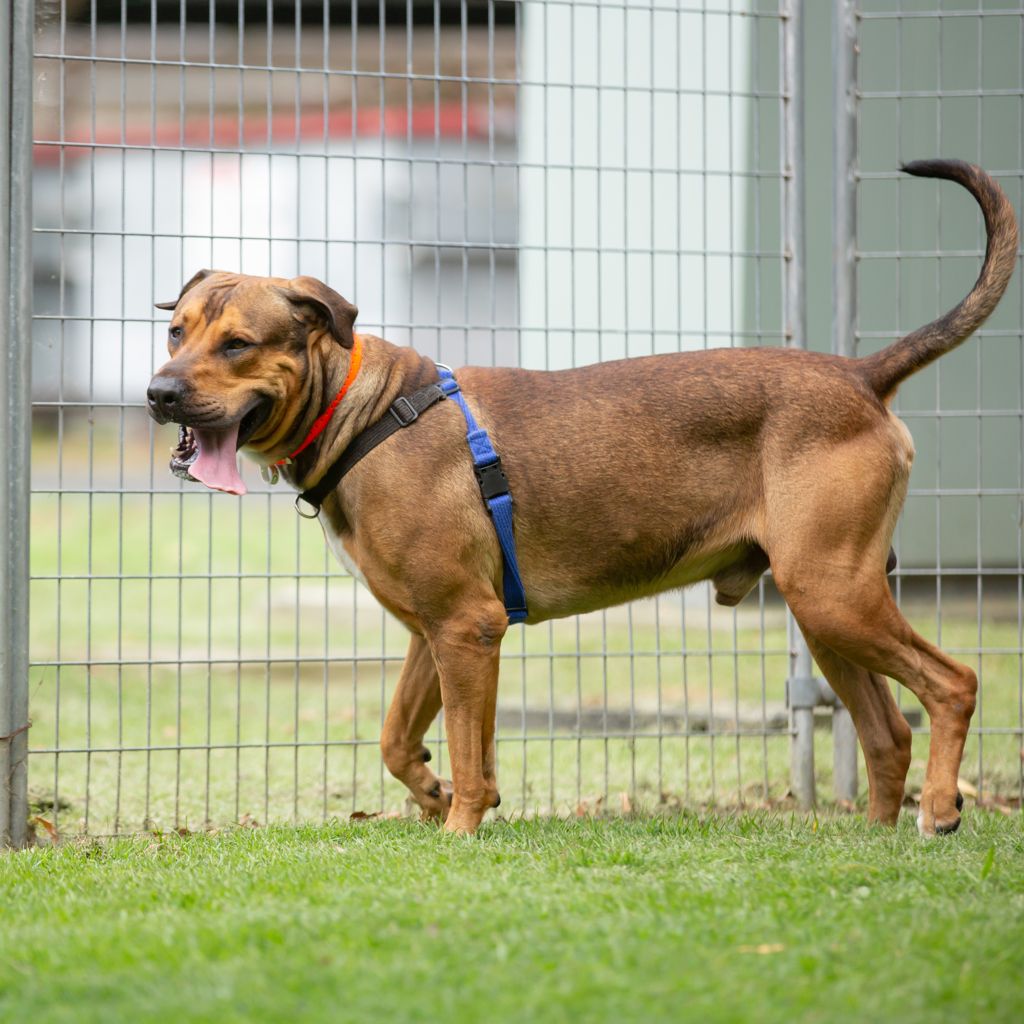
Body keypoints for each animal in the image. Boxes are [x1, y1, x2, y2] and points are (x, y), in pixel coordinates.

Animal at [147, 159, 1018, 836]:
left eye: (238, 343)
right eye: (177, 331)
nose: (158, 394)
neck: (362, 410)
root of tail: (861, 376)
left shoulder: (467, 627)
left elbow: (468, 750)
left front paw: (460, 826)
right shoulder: (435, 632)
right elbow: (399, 738)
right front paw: (431, 793)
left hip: (834, 593)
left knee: (953, 684)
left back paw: (940, 810)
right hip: (825, 608)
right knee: (887, 733)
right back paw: (872, 835)